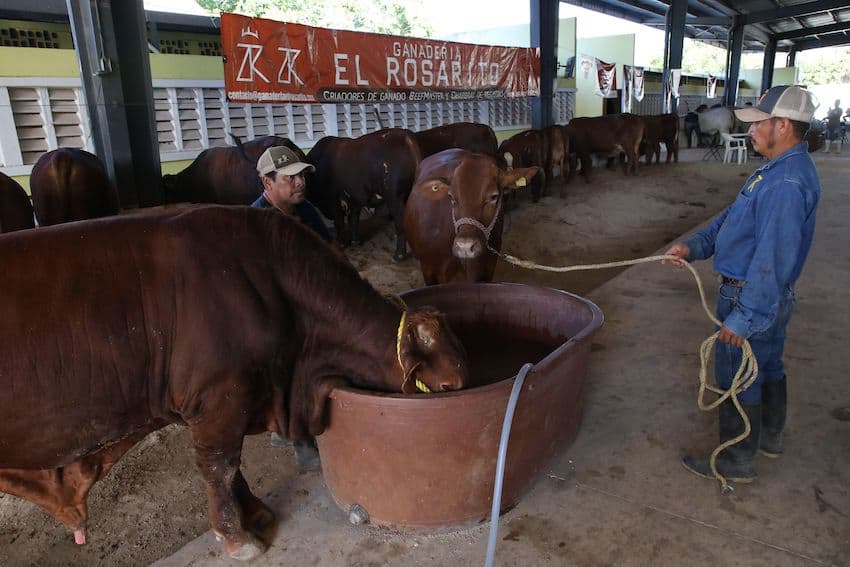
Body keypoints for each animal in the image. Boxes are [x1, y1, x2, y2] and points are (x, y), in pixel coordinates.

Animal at [0, 206, 468, 560]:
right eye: (447, 387)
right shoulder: (220, 396)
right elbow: (220, 466)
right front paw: (237, 536)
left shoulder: (237, 398)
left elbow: (233, 466)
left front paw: (255, 513)